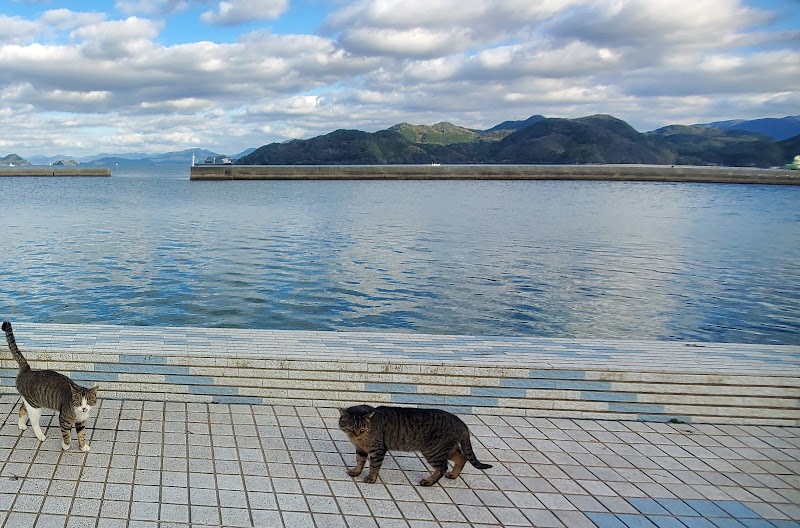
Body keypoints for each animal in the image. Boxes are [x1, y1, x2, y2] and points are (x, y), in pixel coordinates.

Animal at [2, 320, 98, 452]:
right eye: (78, 402)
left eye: (88, 401)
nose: (84, 408)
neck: (79, 413)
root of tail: (27, 371)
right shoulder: (64, 419)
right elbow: (66, 435)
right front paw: (66, 446)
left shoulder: (81, 422)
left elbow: (81, 435)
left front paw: (83, 447)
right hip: (35, 407)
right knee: (34, 422)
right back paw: (40, 435)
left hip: (30, 402)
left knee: (22, 409)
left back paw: (21, 424)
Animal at [340, 404, 494, 486]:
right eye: (350, 427)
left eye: (362, 429)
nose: (357, 434)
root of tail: (461, 423)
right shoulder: (361, 450)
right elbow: (360, 462)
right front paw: (356, 472)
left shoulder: (377, 450)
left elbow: (374, 466)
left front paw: (371, 478)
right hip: (446, 449)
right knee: (462, 457)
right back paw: (453, 475)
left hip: (433, 451)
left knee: (442, 467)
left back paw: (429, 481)